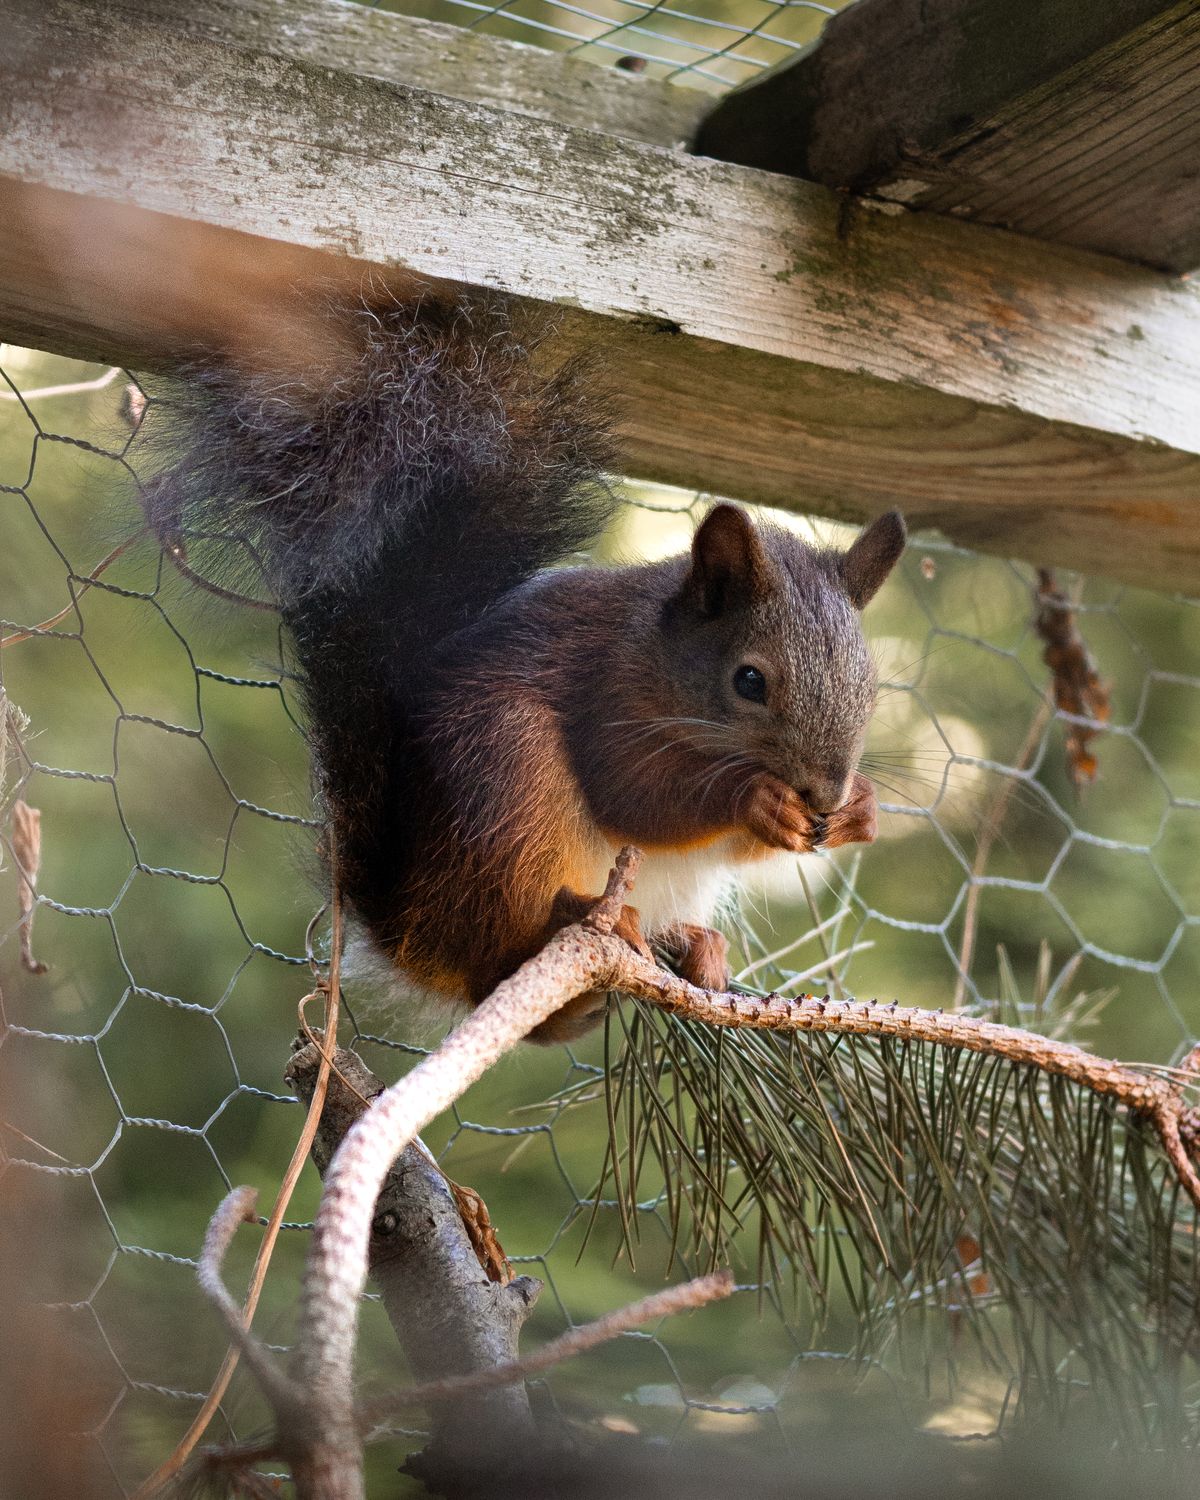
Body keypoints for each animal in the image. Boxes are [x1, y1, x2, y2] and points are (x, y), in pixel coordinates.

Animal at [141, 292, 905, 1043]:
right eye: (749, 681)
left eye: (871, 689)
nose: (826, 793)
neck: (661, 661)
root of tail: (412, 934)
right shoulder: (607, 691)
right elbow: (633, 793)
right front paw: (756, 798)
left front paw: (862, 811)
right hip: (503, 767)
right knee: (499, 962)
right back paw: (574, 921)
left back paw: (692, 945)